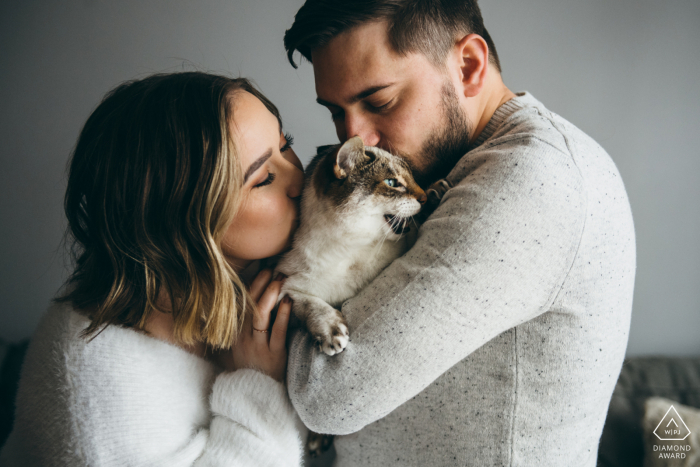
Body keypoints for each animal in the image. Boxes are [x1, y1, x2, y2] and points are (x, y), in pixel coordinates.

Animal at [276, 137, 424, 356]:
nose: (425, 197)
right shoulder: (284, 287)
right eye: (392, 183)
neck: (352, 248)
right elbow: (308, 304)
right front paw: (330, 332)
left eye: (412, 177)